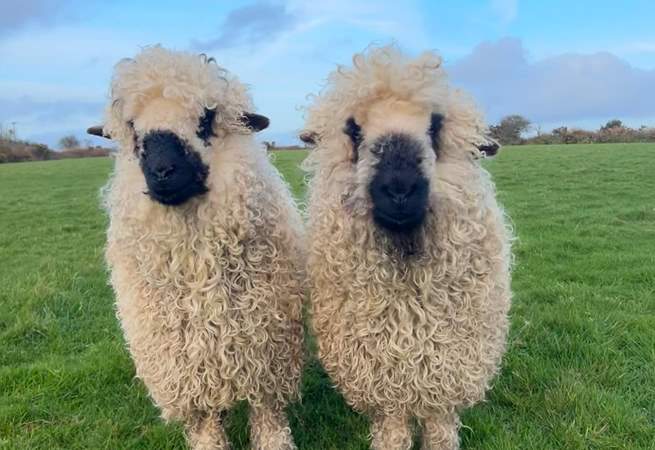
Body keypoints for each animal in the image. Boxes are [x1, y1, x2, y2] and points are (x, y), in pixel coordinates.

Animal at [88, 46, 304, 450]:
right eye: (132, 128)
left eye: (206, 119)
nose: (162, 171)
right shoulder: (182, 366)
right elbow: (205, 423)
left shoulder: (266, 349)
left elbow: (267, 413)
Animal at [300, 45, 512, 450]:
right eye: (353, 130)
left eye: (435, 126)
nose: (399, 189)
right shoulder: (383, 383)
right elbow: (394, 435)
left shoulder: (446, 376)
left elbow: (440, 433)